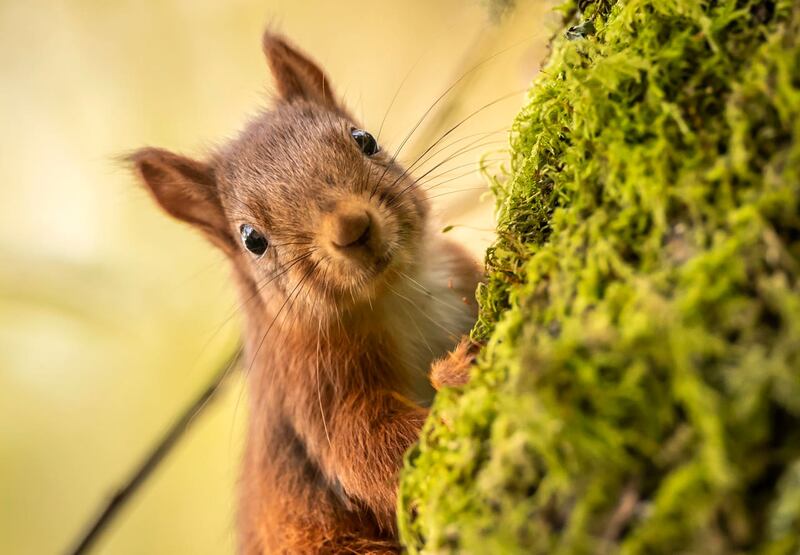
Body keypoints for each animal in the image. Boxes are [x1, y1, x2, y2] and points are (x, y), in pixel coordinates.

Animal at [130, 31, 482, 555]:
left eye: (364, 139)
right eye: (252, 239)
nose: (352, 228)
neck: (395, 294)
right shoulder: (313, 391)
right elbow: (371, 450)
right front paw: (457, 378)